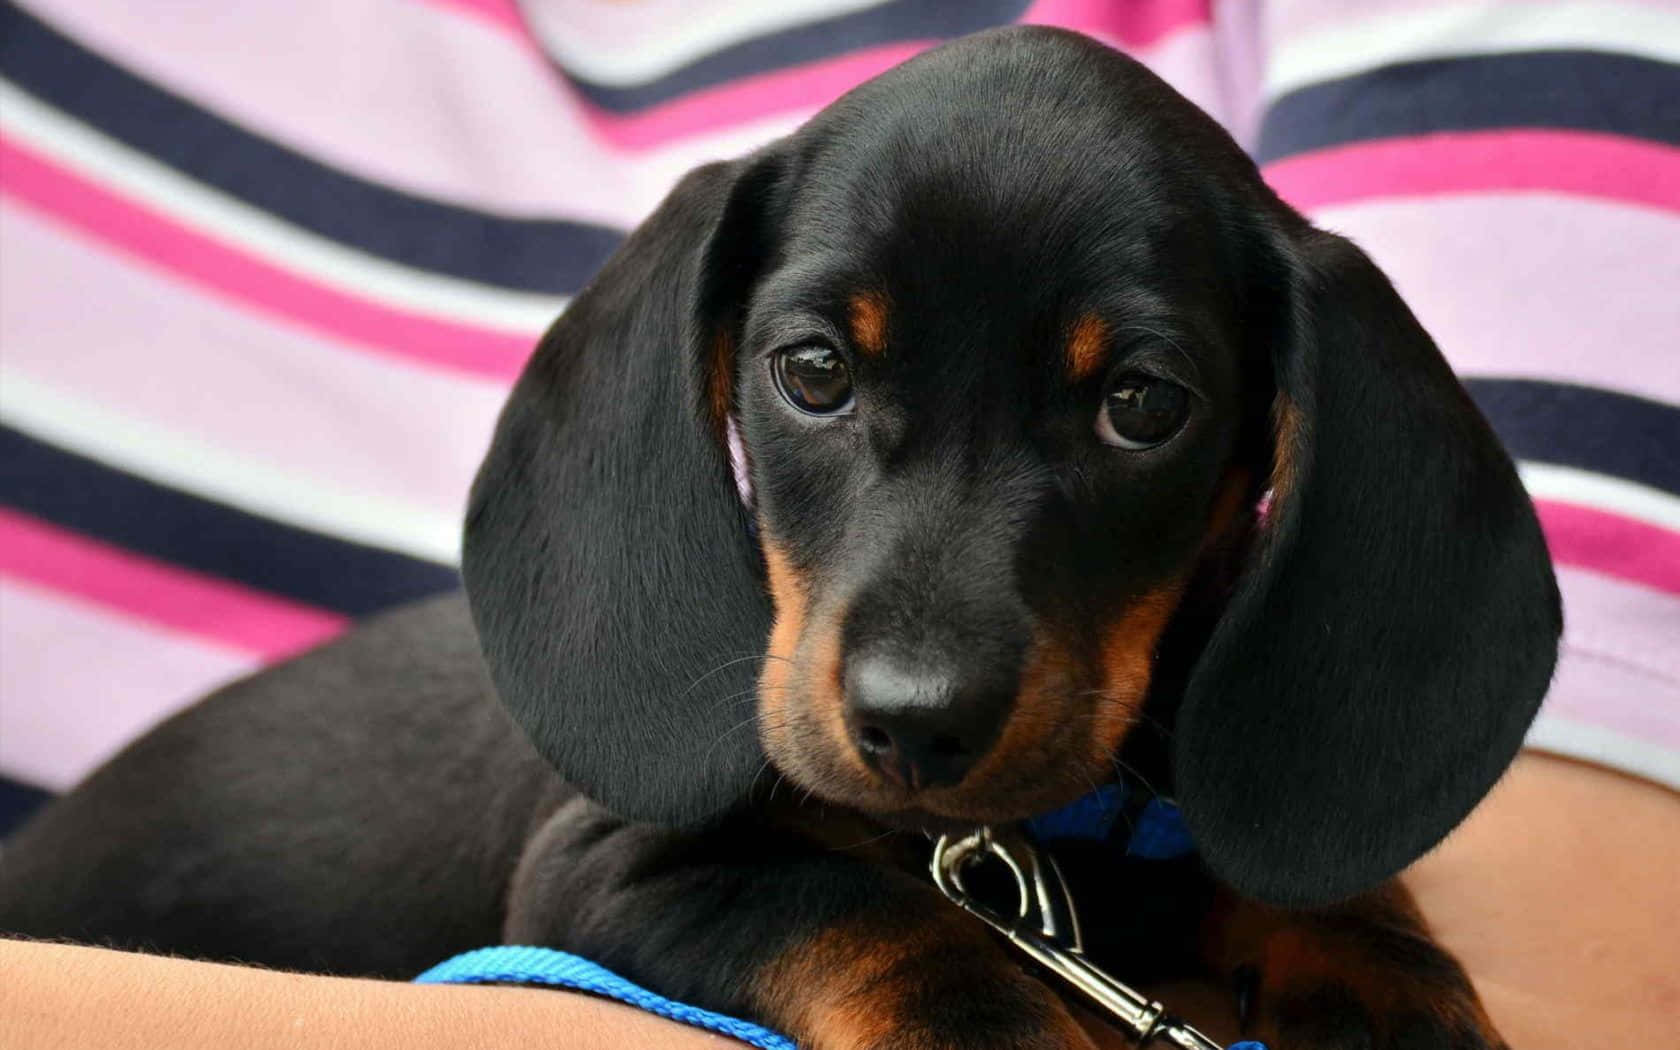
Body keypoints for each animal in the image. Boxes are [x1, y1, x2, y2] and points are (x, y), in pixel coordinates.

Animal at [6, 26, 1565, 1048]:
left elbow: (1349, 906)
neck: (1020, 848)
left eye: (1143, 404)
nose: (916, 726)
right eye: (813, 370)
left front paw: (1397, 998)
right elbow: (868, 915)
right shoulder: (607, 865)